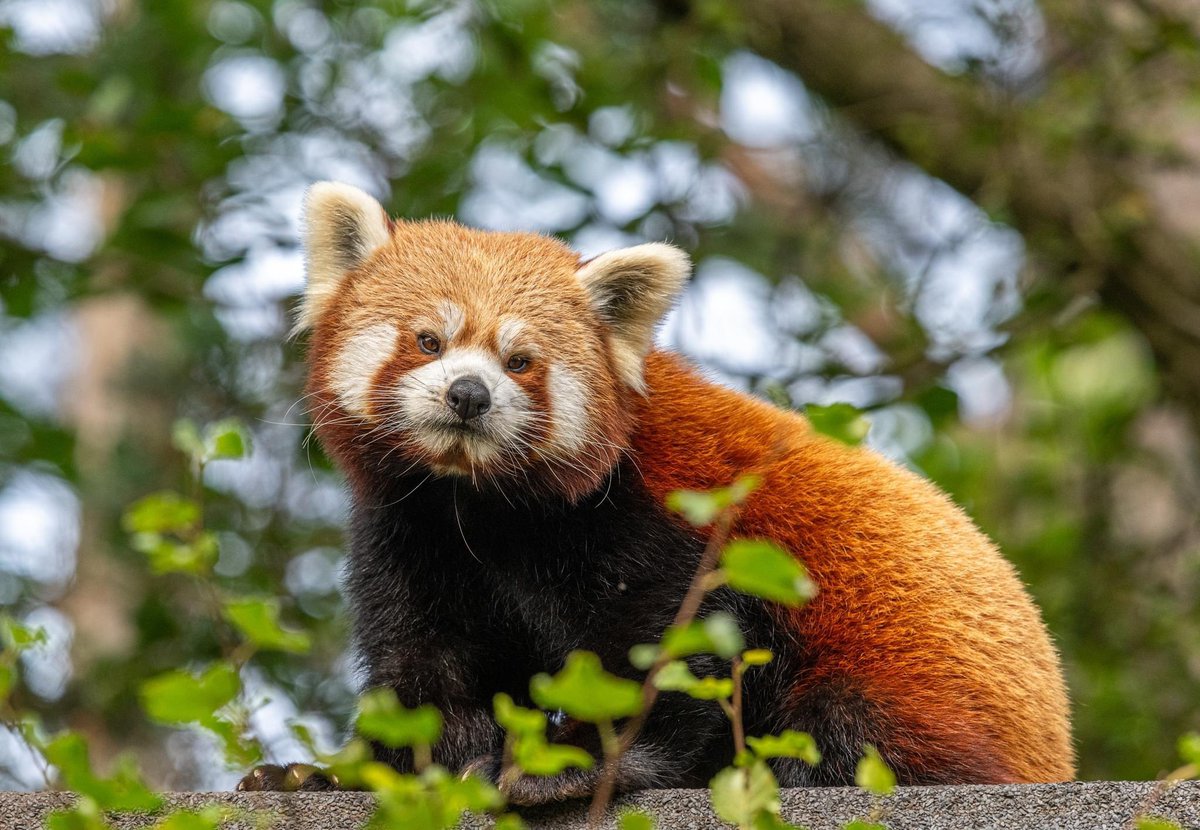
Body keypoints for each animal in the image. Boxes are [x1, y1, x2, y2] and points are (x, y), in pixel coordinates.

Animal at [238, 183, 1075, 806]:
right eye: (427, 342)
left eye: (519, 361)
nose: (469, 395)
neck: (482, 506)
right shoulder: (414, 533)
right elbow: (424, 670)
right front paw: (339, 774)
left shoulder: (661, 516)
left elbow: (671, 644)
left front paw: (565, 763)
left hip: (914, 675)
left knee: (848, 726)